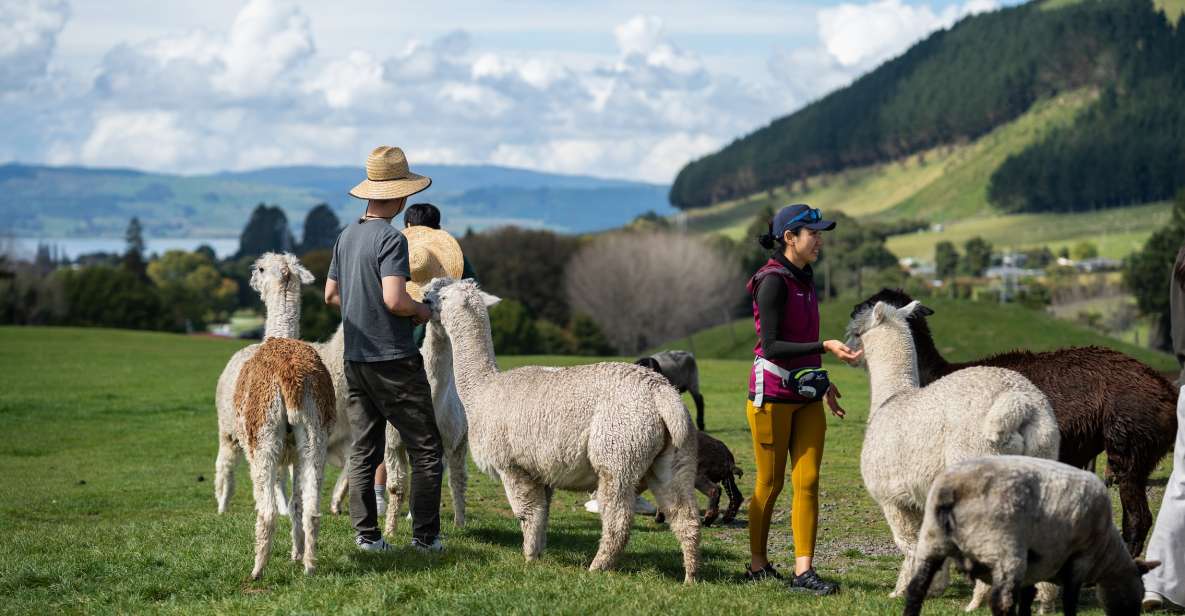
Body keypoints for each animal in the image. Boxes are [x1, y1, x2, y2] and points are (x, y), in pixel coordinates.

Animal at [424, 279, 696, 582]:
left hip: (619, 450)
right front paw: (539, 552)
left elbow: (527, 513)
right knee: (684, 514)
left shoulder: (512, 465)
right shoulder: (541, 470)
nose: (424, 299)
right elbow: (543, 513)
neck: (484, 390)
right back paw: (690, 577)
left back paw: (597, 567)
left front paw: (529, 558)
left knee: (618, 518)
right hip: (674, 456)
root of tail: (660, 392)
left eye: (442, 296)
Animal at [848, 300, 1061, 606]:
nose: (848, 346)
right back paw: (1045, 599)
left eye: (858, 326)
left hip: (978, 463)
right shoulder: (921, 496)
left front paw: (903, 590)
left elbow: (908, 543)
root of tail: (1019, 403)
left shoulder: (893, 498)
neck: (891, 400)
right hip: (1044, 453)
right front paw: (932, 586)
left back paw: (978, 600)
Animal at [900, 454, 1161, 611]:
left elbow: (1027, 597)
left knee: (916, 590)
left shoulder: (1036, 567)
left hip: (932, 540)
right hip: (1003, 549)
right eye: (1136, 592)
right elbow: (1070, 601)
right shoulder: (1078, 562)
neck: (1106, 553)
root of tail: (953, 490)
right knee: (1000, 601)